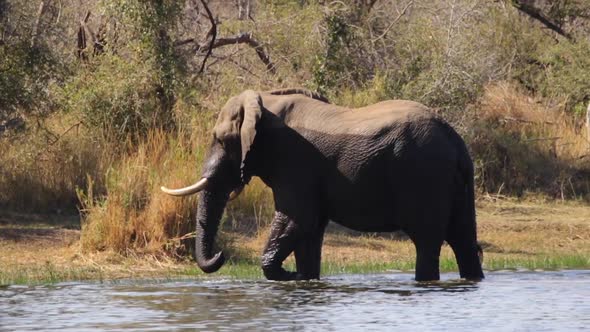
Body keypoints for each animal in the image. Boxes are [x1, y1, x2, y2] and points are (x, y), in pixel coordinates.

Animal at [162, 87, 486, 280]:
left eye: (220, 140)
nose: (221, 256)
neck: (265, 101)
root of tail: (455, 141)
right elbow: (309, 231)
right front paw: (305, 279)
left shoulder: (295, 163)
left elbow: (298, 219)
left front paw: (289, 274)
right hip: (452, 181)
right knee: (463, 239)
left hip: (424, 175)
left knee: (427, 241)